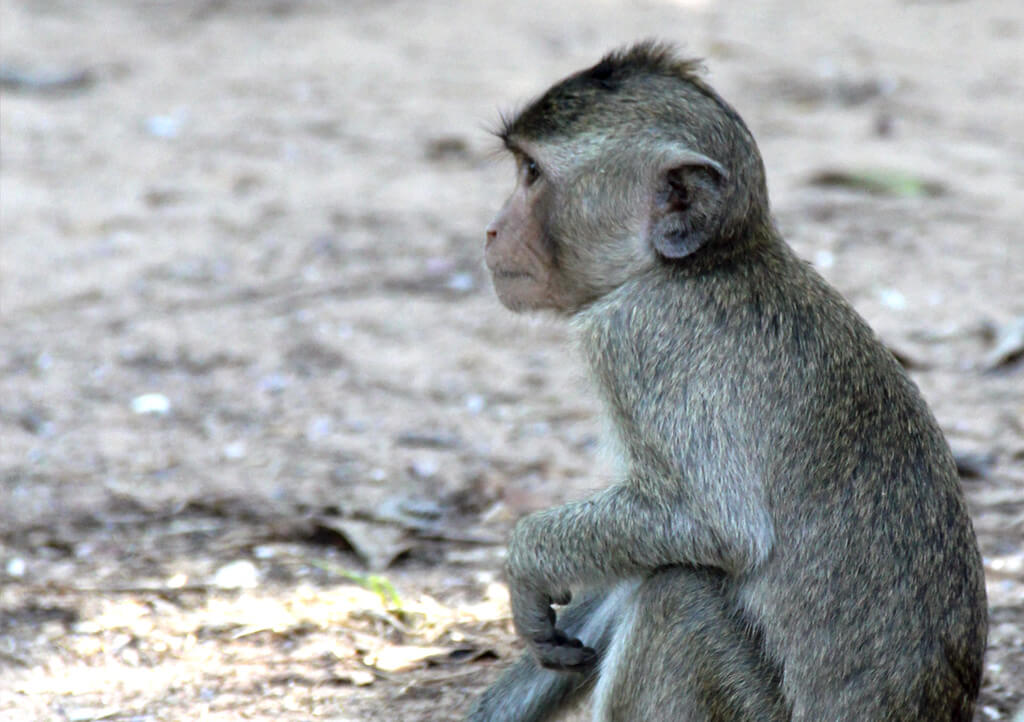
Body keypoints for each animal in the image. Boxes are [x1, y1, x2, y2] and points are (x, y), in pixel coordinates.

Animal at [464, 40, 983, 720]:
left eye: (531, 173)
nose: (492, 229)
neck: (710, 261)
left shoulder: (636, 337)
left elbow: (716, 526)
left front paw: (525, 561)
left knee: (679, 593)